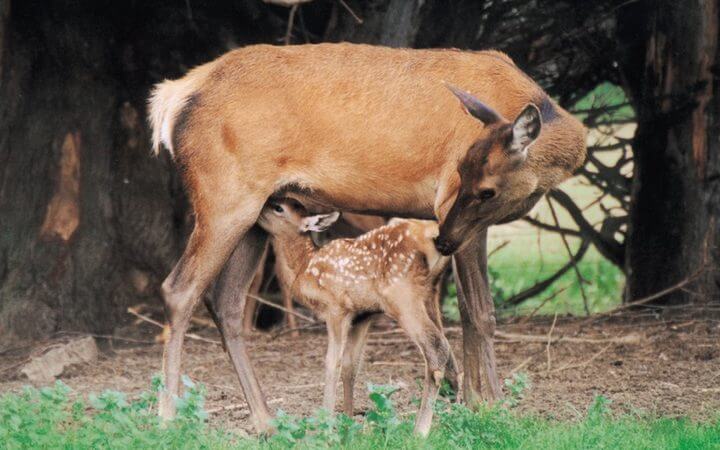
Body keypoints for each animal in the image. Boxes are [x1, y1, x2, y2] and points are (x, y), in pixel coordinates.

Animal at [148, 43, 584, 432]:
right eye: (461, 173)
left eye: (487, 189)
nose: (443, 238)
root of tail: (172, 98)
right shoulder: (450, 208)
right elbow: (481, 312)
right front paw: (492, 406)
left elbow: (465, 310)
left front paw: (471, 401)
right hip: (225, 194)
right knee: (179, 289)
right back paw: (168, 417)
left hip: (257, 213)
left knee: (227, 302)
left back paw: (266, 421)